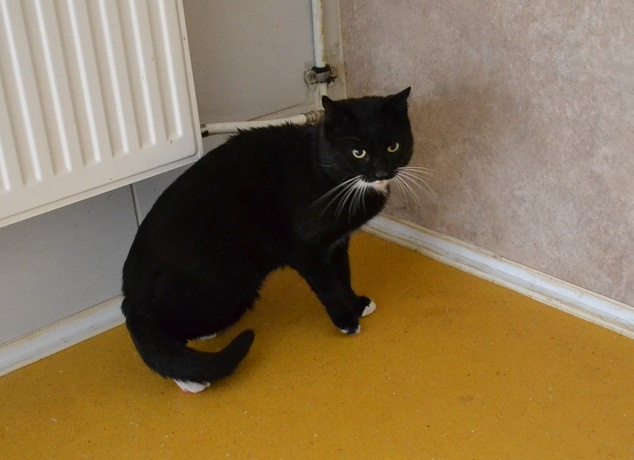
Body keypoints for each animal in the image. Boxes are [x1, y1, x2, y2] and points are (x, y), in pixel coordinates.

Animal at [121, 87, 413, 392]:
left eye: (393, 147)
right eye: (358, 152)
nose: (381, 174)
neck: (325, 172)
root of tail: (132, 290)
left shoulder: (337, 242)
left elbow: (344, 276)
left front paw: (357, 304)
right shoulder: (305, 248)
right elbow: (329, 285)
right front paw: (345, 320)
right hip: (227, 285)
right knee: (164, 336)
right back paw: (191, 379)